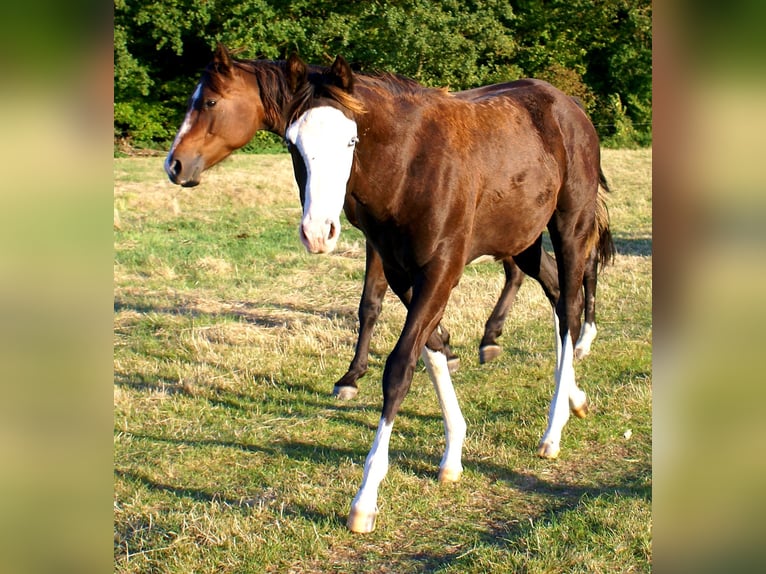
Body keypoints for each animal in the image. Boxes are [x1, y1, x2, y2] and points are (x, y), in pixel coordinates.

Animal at [283, 54, 614, 532]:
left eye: (350, 140)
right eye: (292, 145)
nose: (317, 233)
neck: (409, 167)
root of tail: (569, 105)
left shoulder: (441, 269)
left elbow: (400, 367)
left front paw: (365, 500)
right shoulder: (402, 273)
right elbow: (434, 347)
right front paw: (454, 453)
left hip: (570, 225)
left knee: (570, 307)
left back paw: (553, 430)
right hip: (523, 239)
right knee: (555, 296)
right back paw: (575, 400)